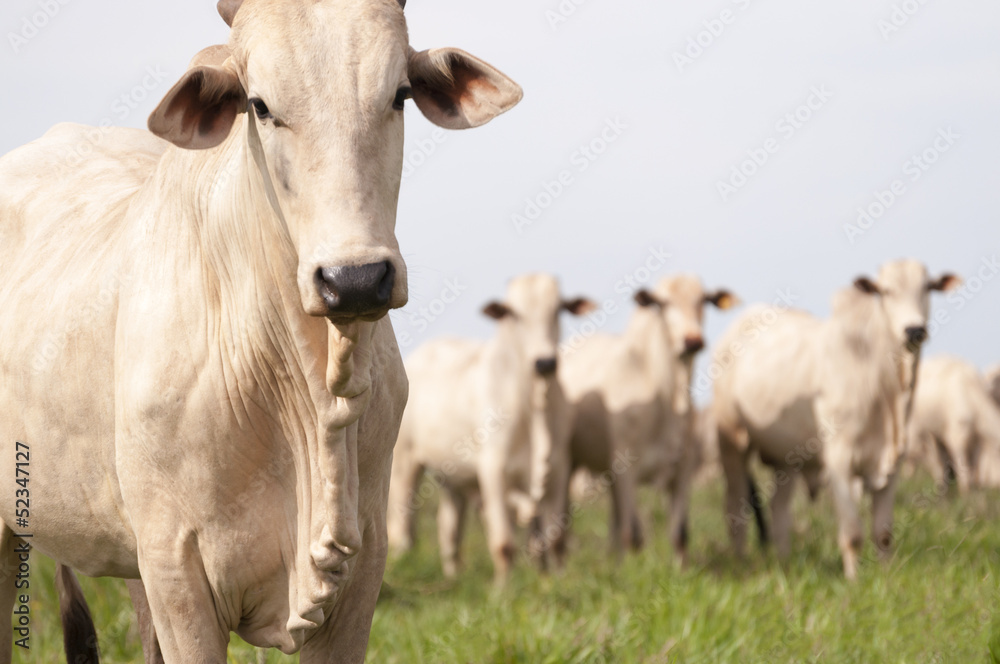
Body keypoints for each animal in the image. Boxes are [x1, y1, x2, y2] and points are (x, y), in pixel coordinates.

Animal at [386, 272, 592, 580]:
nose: (544, 363)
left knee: (449, 526)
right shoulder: (493, 472)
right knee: (402, 524)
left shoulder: (557, 471)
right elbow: (504, 543)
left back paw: (453, 575)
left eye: (558, 309)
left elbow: (555, 539)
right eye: (514, 314)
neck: (532, 405)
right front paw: (504, 587)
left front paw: (557, 579)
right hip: (405, 461)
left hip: (453, 479)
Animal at [560, 272, 740, 564]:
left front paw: (681, 569)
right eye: (662, 303)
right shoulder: (626, 469)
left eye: (704, 300)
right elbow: (633, 534)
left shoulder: (684, 469)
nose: (692, 340)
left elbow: (680, 533)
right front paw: (632, 572)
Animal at [912, 356, 1000, 490]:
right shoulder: (956, 438)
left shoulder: (976, 440)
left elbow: (973, 468)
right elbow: (963, 469)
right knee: (935, 461)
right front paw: (965, 492)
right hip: (925, 432)